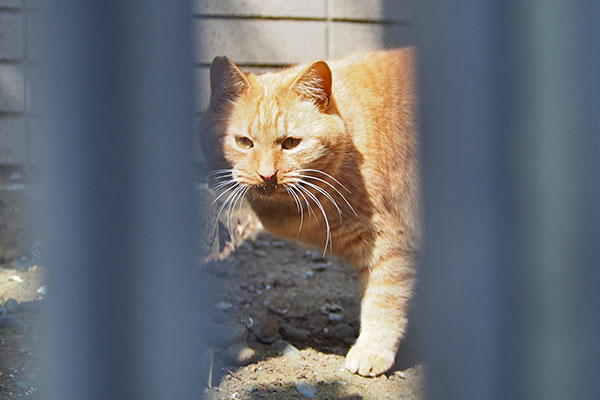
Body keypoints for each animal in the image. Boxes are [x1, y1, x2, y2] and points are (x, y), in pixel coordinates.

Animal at [200, 48, 418, 376]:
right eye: (243, 142)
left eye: (291, 143)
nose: (267, 175)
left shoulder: (390, 244)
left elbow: (383, 299)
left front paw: (372, 349)